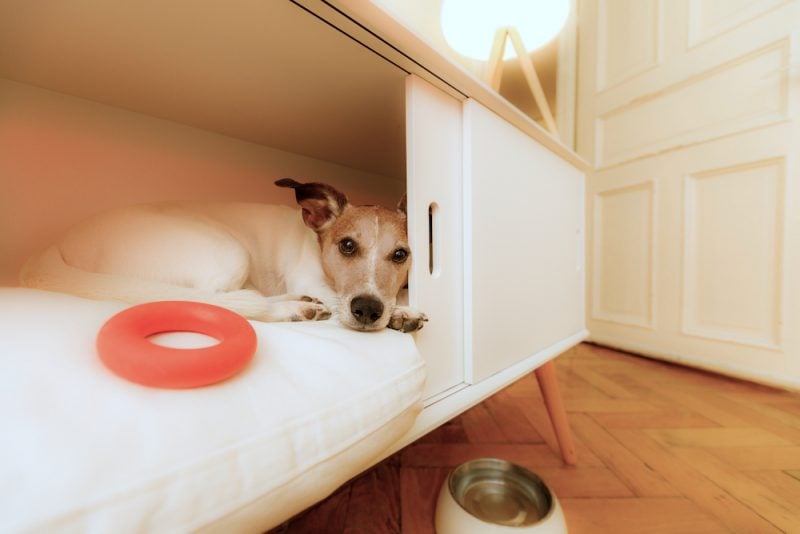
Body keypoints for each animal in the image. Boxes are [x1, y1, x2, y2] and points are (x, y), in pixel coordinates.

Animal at [18, 179, 428, 336]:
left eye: (401, 254)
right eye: (346, 246)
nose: (368, 310)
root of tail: (55, 247)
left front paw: (400, 309)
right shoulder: (312, 278)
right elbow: (336, 299)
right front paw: (399, 311)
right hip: (228, 250)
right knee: (218, 301)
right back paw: (293, 308)